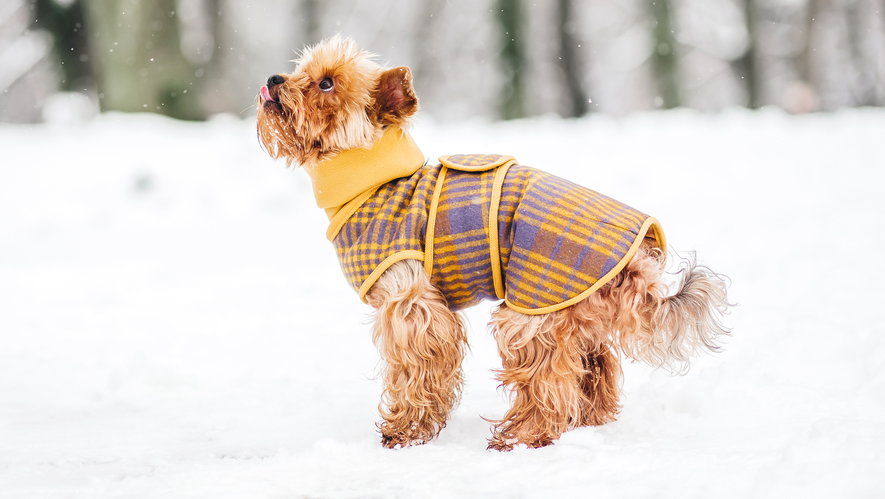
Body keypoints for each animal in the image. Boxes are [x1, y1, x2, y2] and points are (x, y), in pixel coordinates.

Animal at [254, 37, 724, 452]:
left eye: (326, 83)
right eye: (300, 69)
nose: (274, 78)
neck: (371, 181)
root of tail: (639, 262)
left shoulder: (412, 305)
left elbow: (415, 370)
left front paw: (405, 431)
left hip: (530, 314)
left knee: (547, 382)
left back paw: (520, 438)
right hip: (573, 312)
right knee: (595, 366)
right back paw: (586, 421)